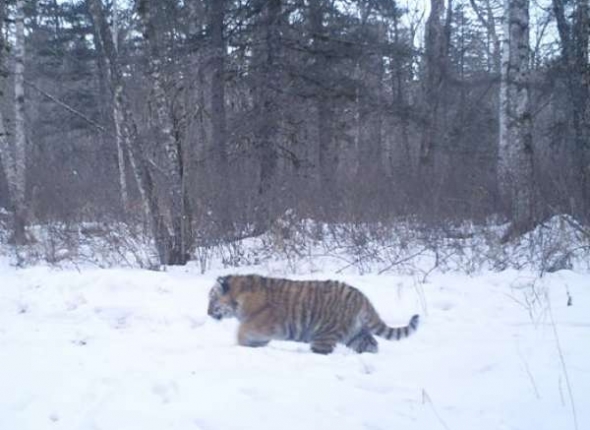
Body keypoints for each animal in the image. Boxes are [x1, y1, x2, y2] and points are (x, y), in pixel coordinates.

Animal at [207, 274, 420, 354]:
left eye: (211, 300)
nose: (207, 313)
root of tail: (362, 298)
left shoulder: (263, 323)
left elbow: (242, 331)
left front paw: (243, 345)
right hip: (354, 334)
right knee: (372, 344)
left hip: (324, 335)